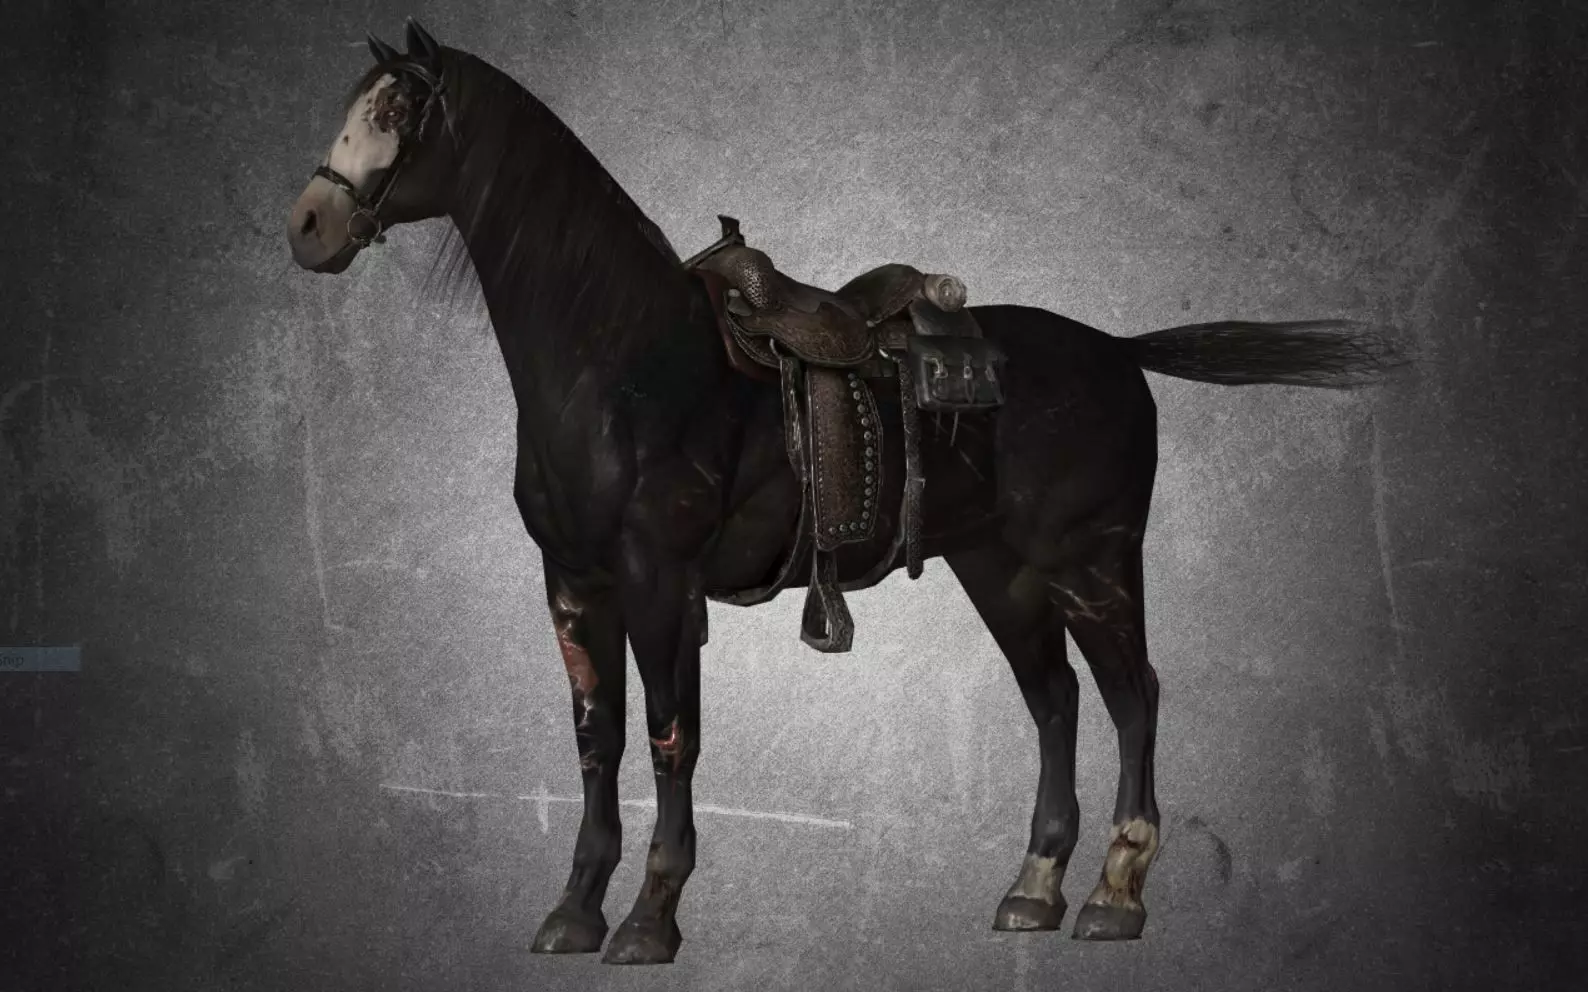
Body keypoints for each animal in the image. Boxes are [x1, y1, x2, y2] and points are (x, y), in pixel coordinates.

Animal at [285, 20, 1400, 966]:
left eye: (398, 112)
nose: (308, 225)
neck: (622, 361)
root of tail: (1118, 351)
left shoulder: (657, 581)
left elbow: (671, 736)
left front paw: (650, 918)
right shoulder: (572, 581)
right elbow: (598, 740)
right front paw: (572, 912)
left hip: (1091, 561)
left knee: (1134, 696)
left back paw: (1113, 896)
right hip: (999, 571)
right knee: (1054, 701)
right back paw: (1032, 888)